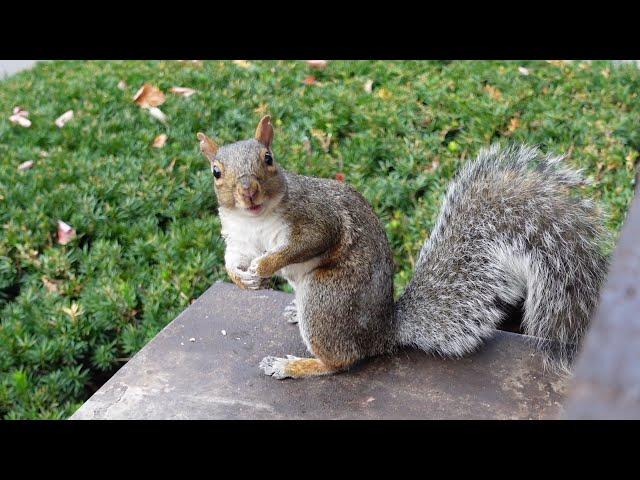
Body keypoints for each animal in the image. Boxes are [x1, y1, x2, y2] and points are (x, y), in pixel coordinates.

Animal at [198, 115, 608, 378]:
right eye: (216, 172)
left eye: (268, 159)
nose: (248, 192)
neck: (256, 219)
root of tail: (385, 332)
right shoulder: (237, 236)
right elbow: (233, 258)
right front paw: (241, 278)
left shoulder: (316, 217)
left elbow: (307, 243)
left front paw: (266, 267)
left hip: (326, 296)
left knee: (342, 360)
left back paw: (293, 366)